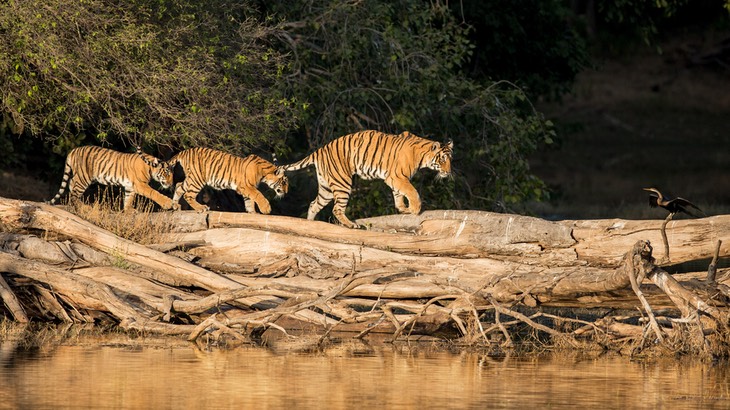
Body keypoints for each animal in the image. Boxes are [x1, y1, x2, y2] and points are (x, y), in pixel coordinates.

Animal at [48, 146, 176, 211]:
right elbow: (154, 193)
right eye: (167, 173)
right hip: (84, 177)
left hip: (80, 176)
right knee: (74, 194)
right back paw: (84, 207)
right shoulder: (140, 184)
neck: (149, 168)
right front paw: (168, 203)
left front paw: (128, 211)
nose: (171, 184)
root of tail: (74, 150)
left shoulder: (130, 187)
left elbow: (128, 199)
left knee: (71, 184)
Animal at [282, 131, 452, 229]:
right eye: (443, 159)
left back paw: (310, 224)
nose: (448, 171)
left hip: (327, 189)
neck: (422, 156)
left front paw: (404, 209)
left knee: (313, 205)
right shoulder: (397, 177)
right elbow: (412, 192)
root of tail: (320, 150)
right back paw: (351, 225)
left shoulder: (395, 179)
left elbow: (399, 195)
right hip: (342, 183)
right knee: (336, 208)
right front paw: (415, 209)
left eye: (450, 158)